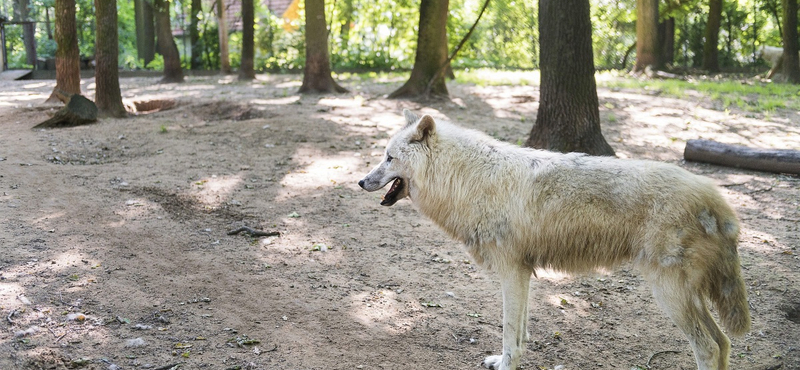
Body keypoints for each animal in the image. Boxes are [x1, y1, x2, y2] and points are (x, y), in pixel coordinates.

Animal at [360, 110, 752, 370]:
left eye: (388, 158)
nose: (362, 181)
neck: (465, 178)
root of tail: (718, 199)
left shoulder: (511, 271)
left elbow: (509, 332)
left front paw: (506, 364)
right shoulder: (523, 272)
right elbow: (520, 332)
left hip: (669, 294)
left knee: (708, 347)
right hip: (687, 297)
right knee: (723, 343)